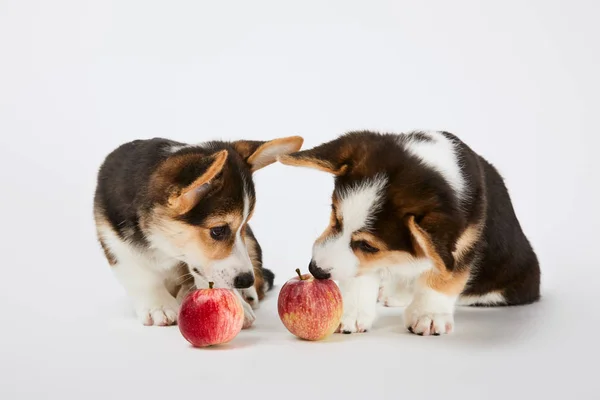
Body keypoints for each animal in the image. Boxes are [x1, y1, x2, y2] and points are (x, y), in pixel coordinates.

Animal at [94, 136, 304, 326]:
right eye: (218, 231)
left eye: (244, 226)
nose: (246, 281)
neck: (162, 242)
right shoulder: (114, 241)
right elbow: (141, 275)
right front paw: (159, 306)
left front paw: (236, 301)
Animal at [278, 130, 540, 334]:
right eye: (335, 216)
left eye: (368, 245)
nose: (314, 270)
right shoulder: (366, 261)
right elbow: (359, 277)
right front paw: (350, 313)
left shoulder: (462, 244)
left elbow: (441, 279)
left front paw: (429, 316)